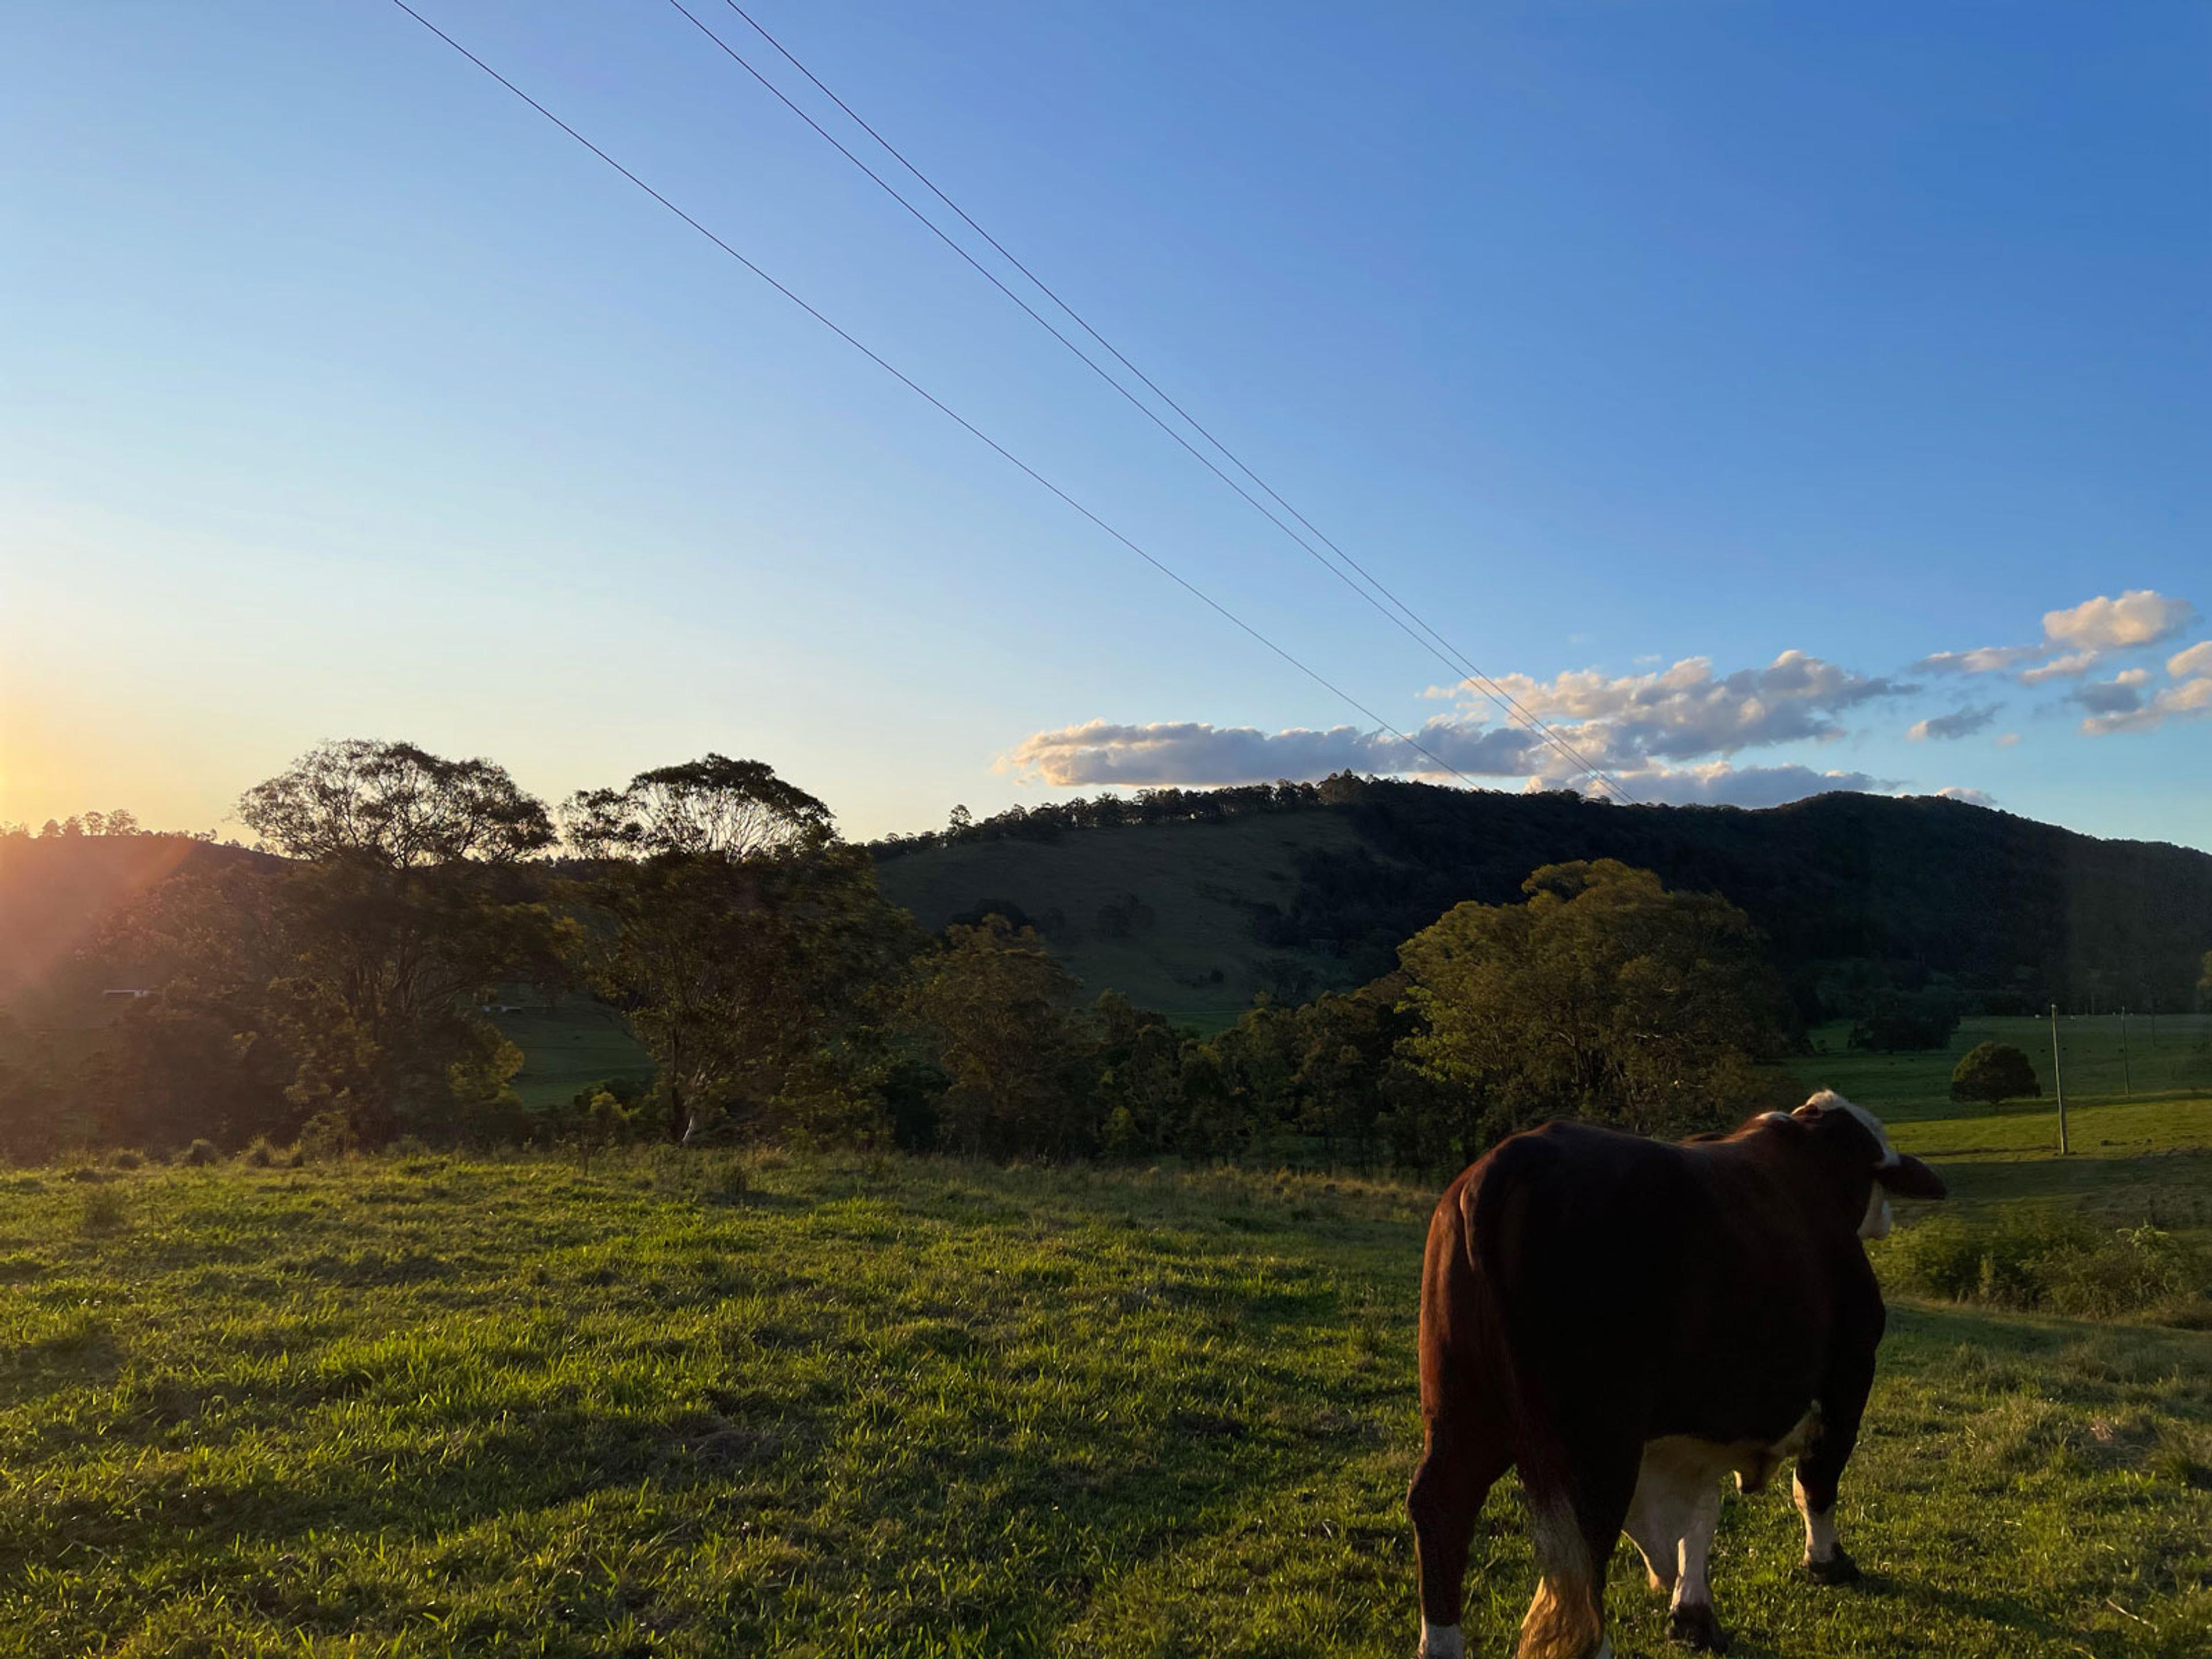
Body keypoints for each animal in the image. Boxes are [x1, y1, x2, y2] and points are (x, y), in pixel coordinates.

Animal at [1408, 1090, 1946, 1659]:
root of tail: (1511, 1158)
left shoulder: (1695, 1425)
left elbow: (1701, 1514)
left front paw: (1692, 1611)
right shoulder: (1848, 1376)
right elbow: (1816, 1481)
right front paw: (1826, 1561)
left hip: (1461, 1411)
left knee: (1442, 1506)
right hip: (1595, 1443)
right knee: (1581, 1564)